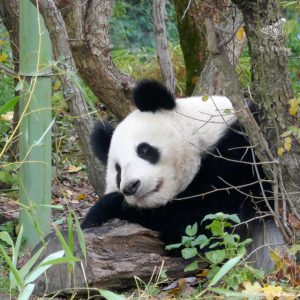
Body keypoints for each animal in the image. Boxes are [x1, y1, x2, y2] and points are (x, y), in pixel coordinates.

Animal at [82, 79, 284, 270]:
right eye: (118, 170)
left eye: (144, 150)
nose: (131, 187)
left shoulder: (237, 162)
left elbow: (195, 228)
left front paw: (100, 211)